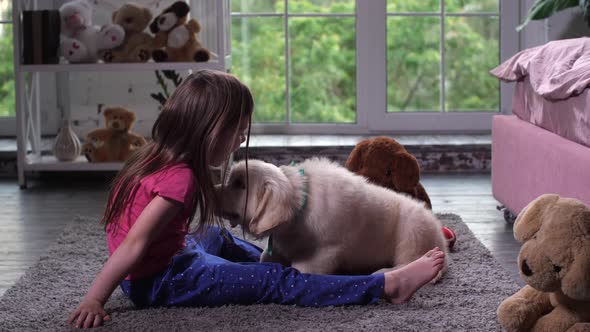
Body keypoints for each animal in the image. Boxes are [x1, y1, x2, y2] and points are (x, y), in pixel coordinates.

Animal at [220, 158, 450, 278]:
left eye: (240, 185)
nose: (215, 190)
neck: (300, 210)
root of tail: (442, 243)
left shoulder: (325, 252)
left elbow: (301, 269)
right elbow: (266, 257)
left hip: (413, 232)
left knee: (414, 262)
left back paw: (384, 272)